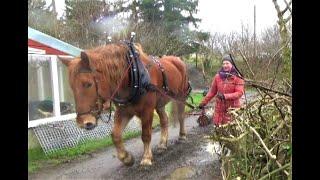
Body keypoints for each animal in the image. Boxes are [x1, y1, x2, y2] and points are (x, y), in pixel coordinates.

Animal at [58, 42, 191, 166]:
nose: (83, 122)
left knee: (181, 116)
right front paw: (126, 158)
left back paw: (182, 135)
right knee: (164, 120)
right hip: (160, 103)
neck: (133, 74)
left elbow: (146, 134)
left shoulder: (147, 110)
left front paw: (146, 157)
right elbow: (115, 135)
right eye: (71, 87)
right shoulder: (124, 111)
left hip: (181, 97)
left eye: (88, 84)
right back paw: (162, 144)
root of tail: (178, 60)